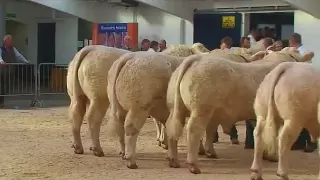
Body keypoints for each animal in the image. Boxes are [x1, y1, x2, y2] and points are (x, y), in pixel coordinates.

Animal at [166, 48, 312, 174]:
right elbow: (273, 135)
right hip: (201, 109)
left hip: (175, 107)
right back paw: (193, 166)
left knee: (172, 127)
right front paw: (272, 156)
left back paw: (174, 160)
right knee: (193, 130)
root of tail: (195, 59)